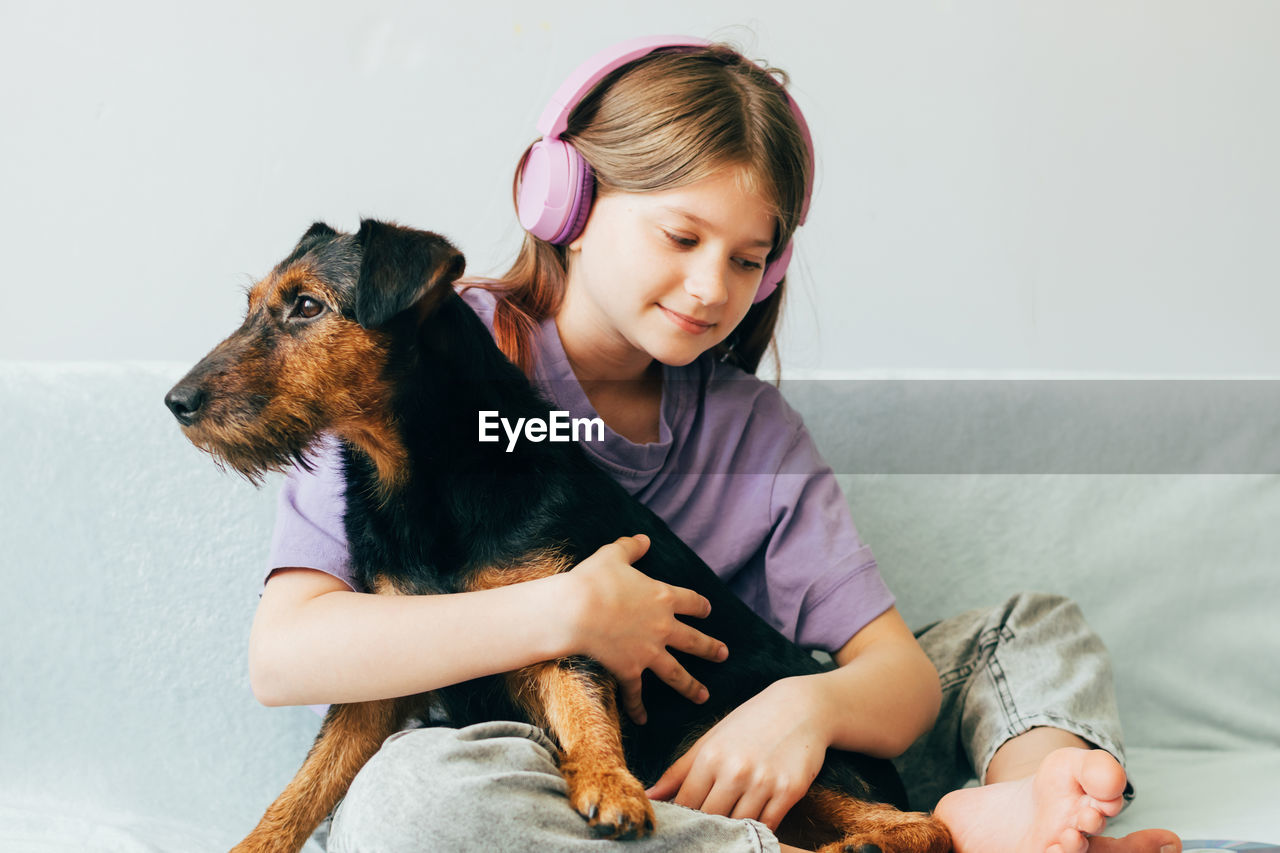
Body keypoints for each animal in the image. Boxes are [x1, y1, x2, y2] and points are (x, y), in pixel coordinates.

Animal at [165, 217, 952, 850]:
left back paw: (862, 843)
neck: (424, 473)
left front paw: (609, 782)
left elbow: (584, 704)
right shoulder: (378, 668)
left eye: (307, 306)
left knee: (927, 824)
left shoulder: (568, 611)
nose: (177, 401)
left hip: (752, 736)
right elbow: (303, 789)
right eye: (254, 306)